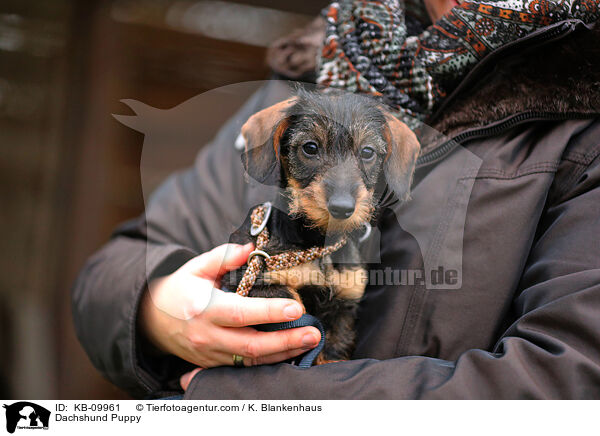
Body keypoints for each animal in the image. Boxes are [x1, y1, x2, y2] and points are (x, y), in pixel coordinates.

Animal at [223, 90, 420, 362]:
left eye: (367, 152)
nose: (342, 207)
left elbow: (333, 351)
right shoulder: (252, 281)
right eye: (310, 147)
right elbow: (296, 308)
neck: (320, 243)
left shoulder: (345, 303)